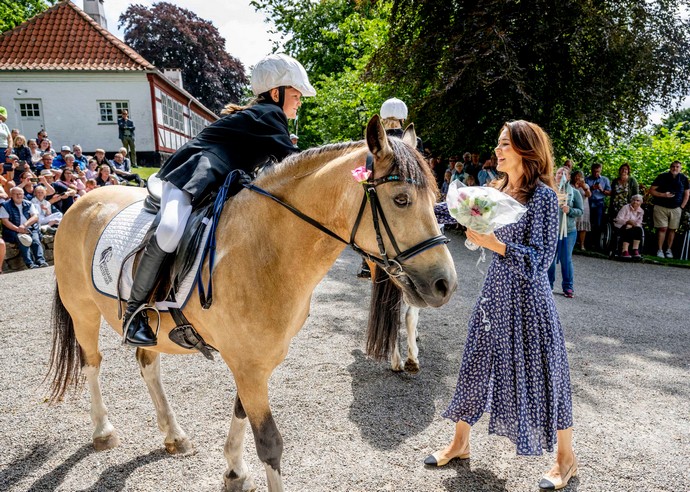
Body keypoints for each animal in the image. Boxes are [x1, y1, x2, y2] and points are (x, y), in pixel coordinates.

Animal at [48, 116, 456, 492]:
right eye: (401, 200)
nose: (445, 285)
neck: (268, 249)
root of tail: (81, 201)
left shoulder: (255, 363)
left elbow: (240, 411)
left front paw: (233, 470)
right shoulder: (248, 365)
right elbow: (269, 443)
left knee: (148, 364)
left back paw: (174, 436)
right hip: (82, 310)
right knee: (92, 363)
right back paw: (103, 431)